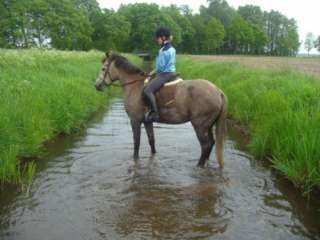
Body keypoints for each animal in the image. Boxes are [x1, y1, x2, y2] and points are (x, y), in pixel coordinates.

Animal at [95, 52, 228, 169]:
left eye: (103, 68)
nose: (97, 86)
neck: (134, 86)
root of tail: (218, 91)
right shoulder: (147, 121)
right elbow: (151, 141)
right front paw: (153, 158)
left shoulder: (135, 121)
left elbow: (136, 143)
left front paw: (135, 161)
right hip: (208, 126)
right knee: (211, 143)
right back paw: (205, 163)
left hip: (200, 126)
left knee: (205, 145)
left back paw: (199, 165)